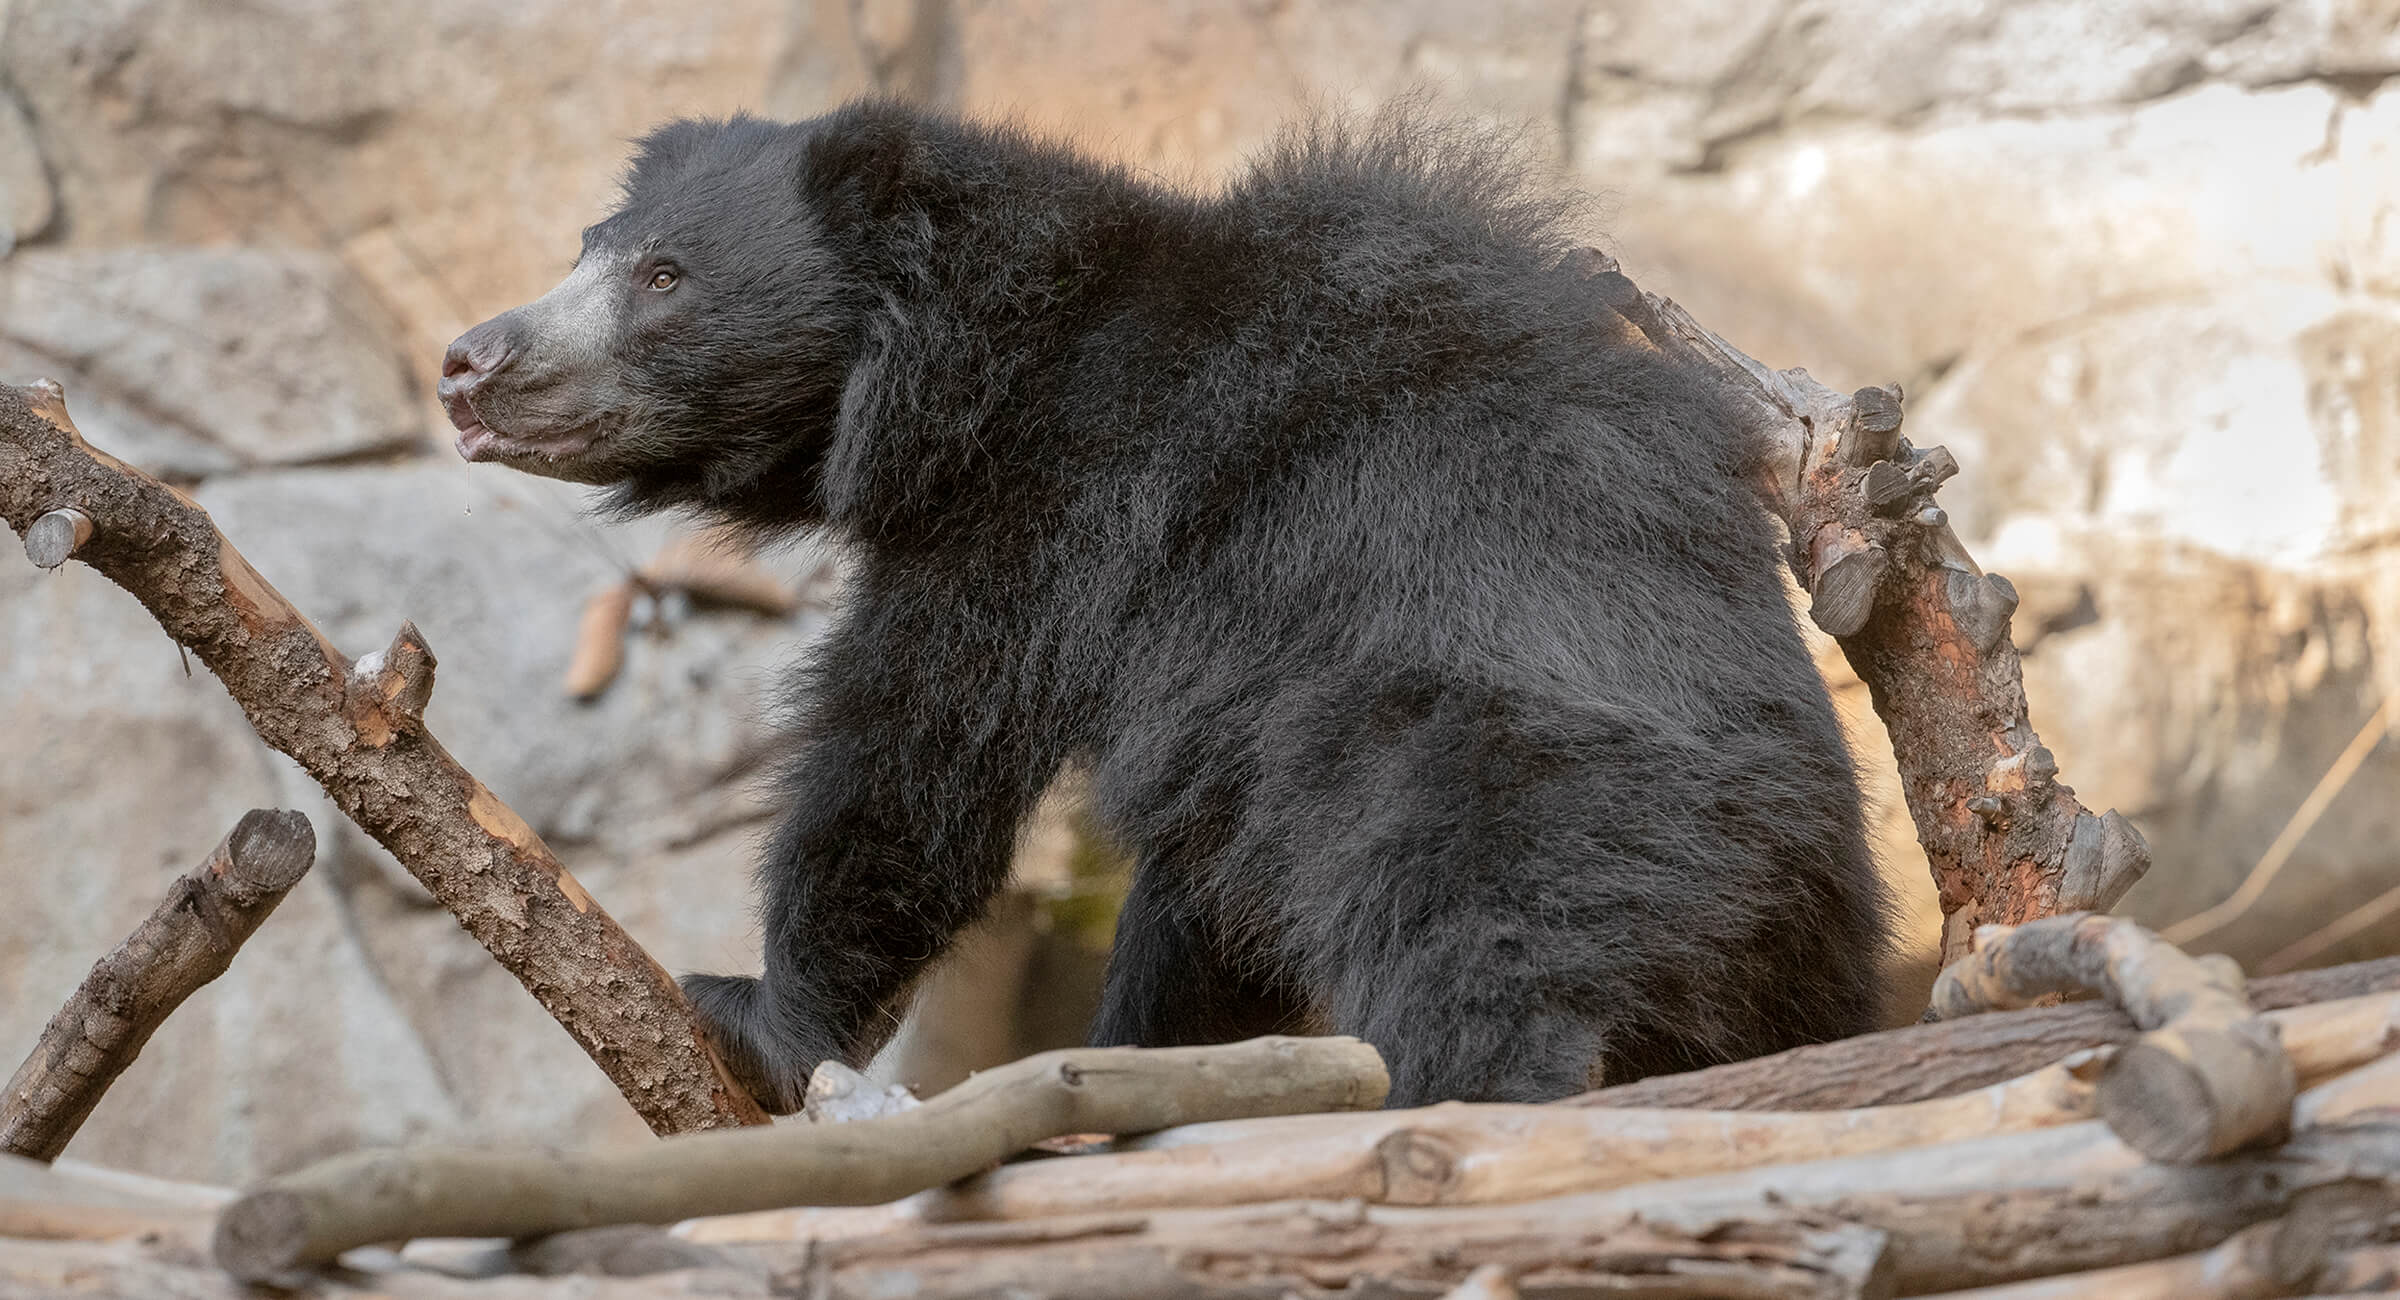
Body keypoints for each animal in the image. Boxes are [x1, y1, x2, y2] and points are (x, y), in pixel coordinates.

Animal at [436, 101, 1891, 1117]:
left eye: (665, 278)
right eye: (587, 249)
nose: (468, 360)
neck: (965, 367)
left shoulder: (1046, 525)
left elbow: (913, 757)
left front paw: (759, 1010)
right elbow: (1193, 902)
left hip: (1495, 793)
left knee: (1471, 953)